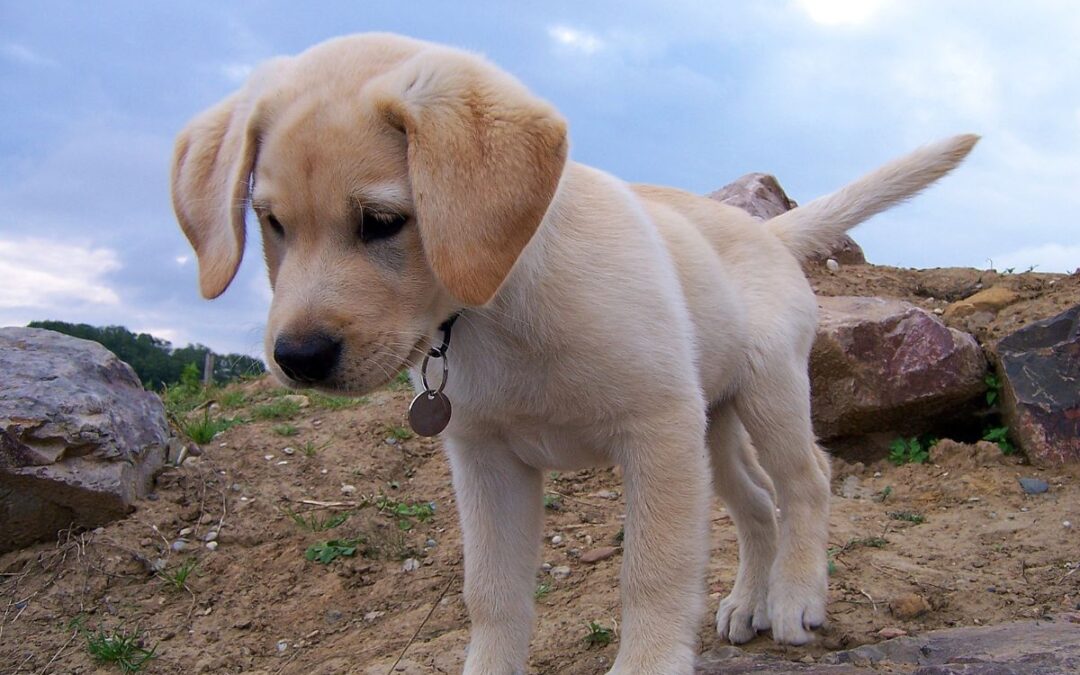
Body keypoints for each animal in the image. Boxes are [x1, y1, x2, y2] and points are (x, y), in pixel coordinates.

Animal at [170, 32, 980, 673]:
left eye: (382, 221)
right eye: (270, 222)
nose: (299, 357)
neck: (497, 306)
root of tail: (763, 229)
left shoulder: (655, 432)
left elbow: (652, 573)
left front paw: (649, 664)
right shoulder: (486, 461)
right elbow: (491, 594)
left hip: (766, 392)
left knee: (807, 479)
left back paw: (795, 597)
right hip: (711, 425)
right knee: (755, 504)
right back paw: (749, 600)